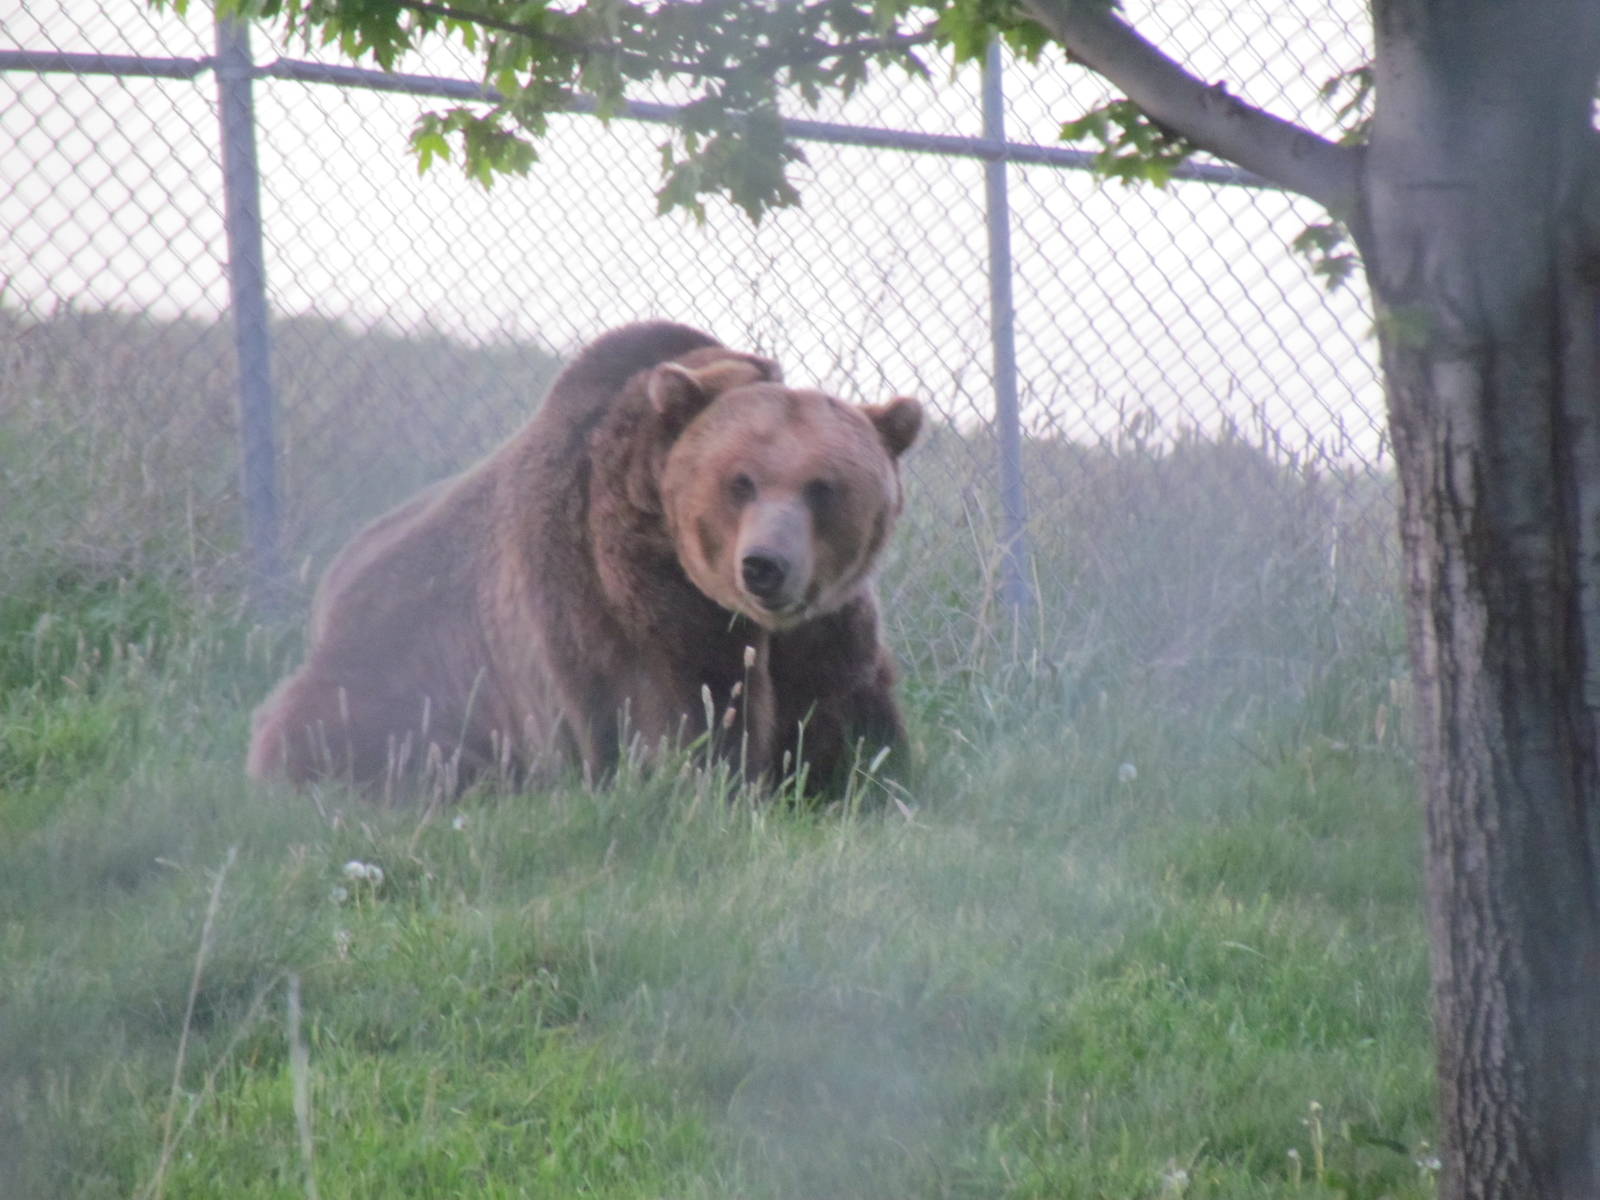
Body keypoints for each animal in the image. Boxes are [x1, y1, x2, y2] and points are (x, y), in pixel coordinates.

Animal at [246, 320, 921, 798]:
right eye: (741, 481)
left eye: (822, 487)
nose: (764, 565)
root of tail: (332, 582)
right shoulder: (625, 597)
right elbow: (684, 712)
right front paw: (715, 780)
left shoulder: (824, 624)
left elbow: (848, 712)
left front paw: (861, 779)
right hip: (399, 668)